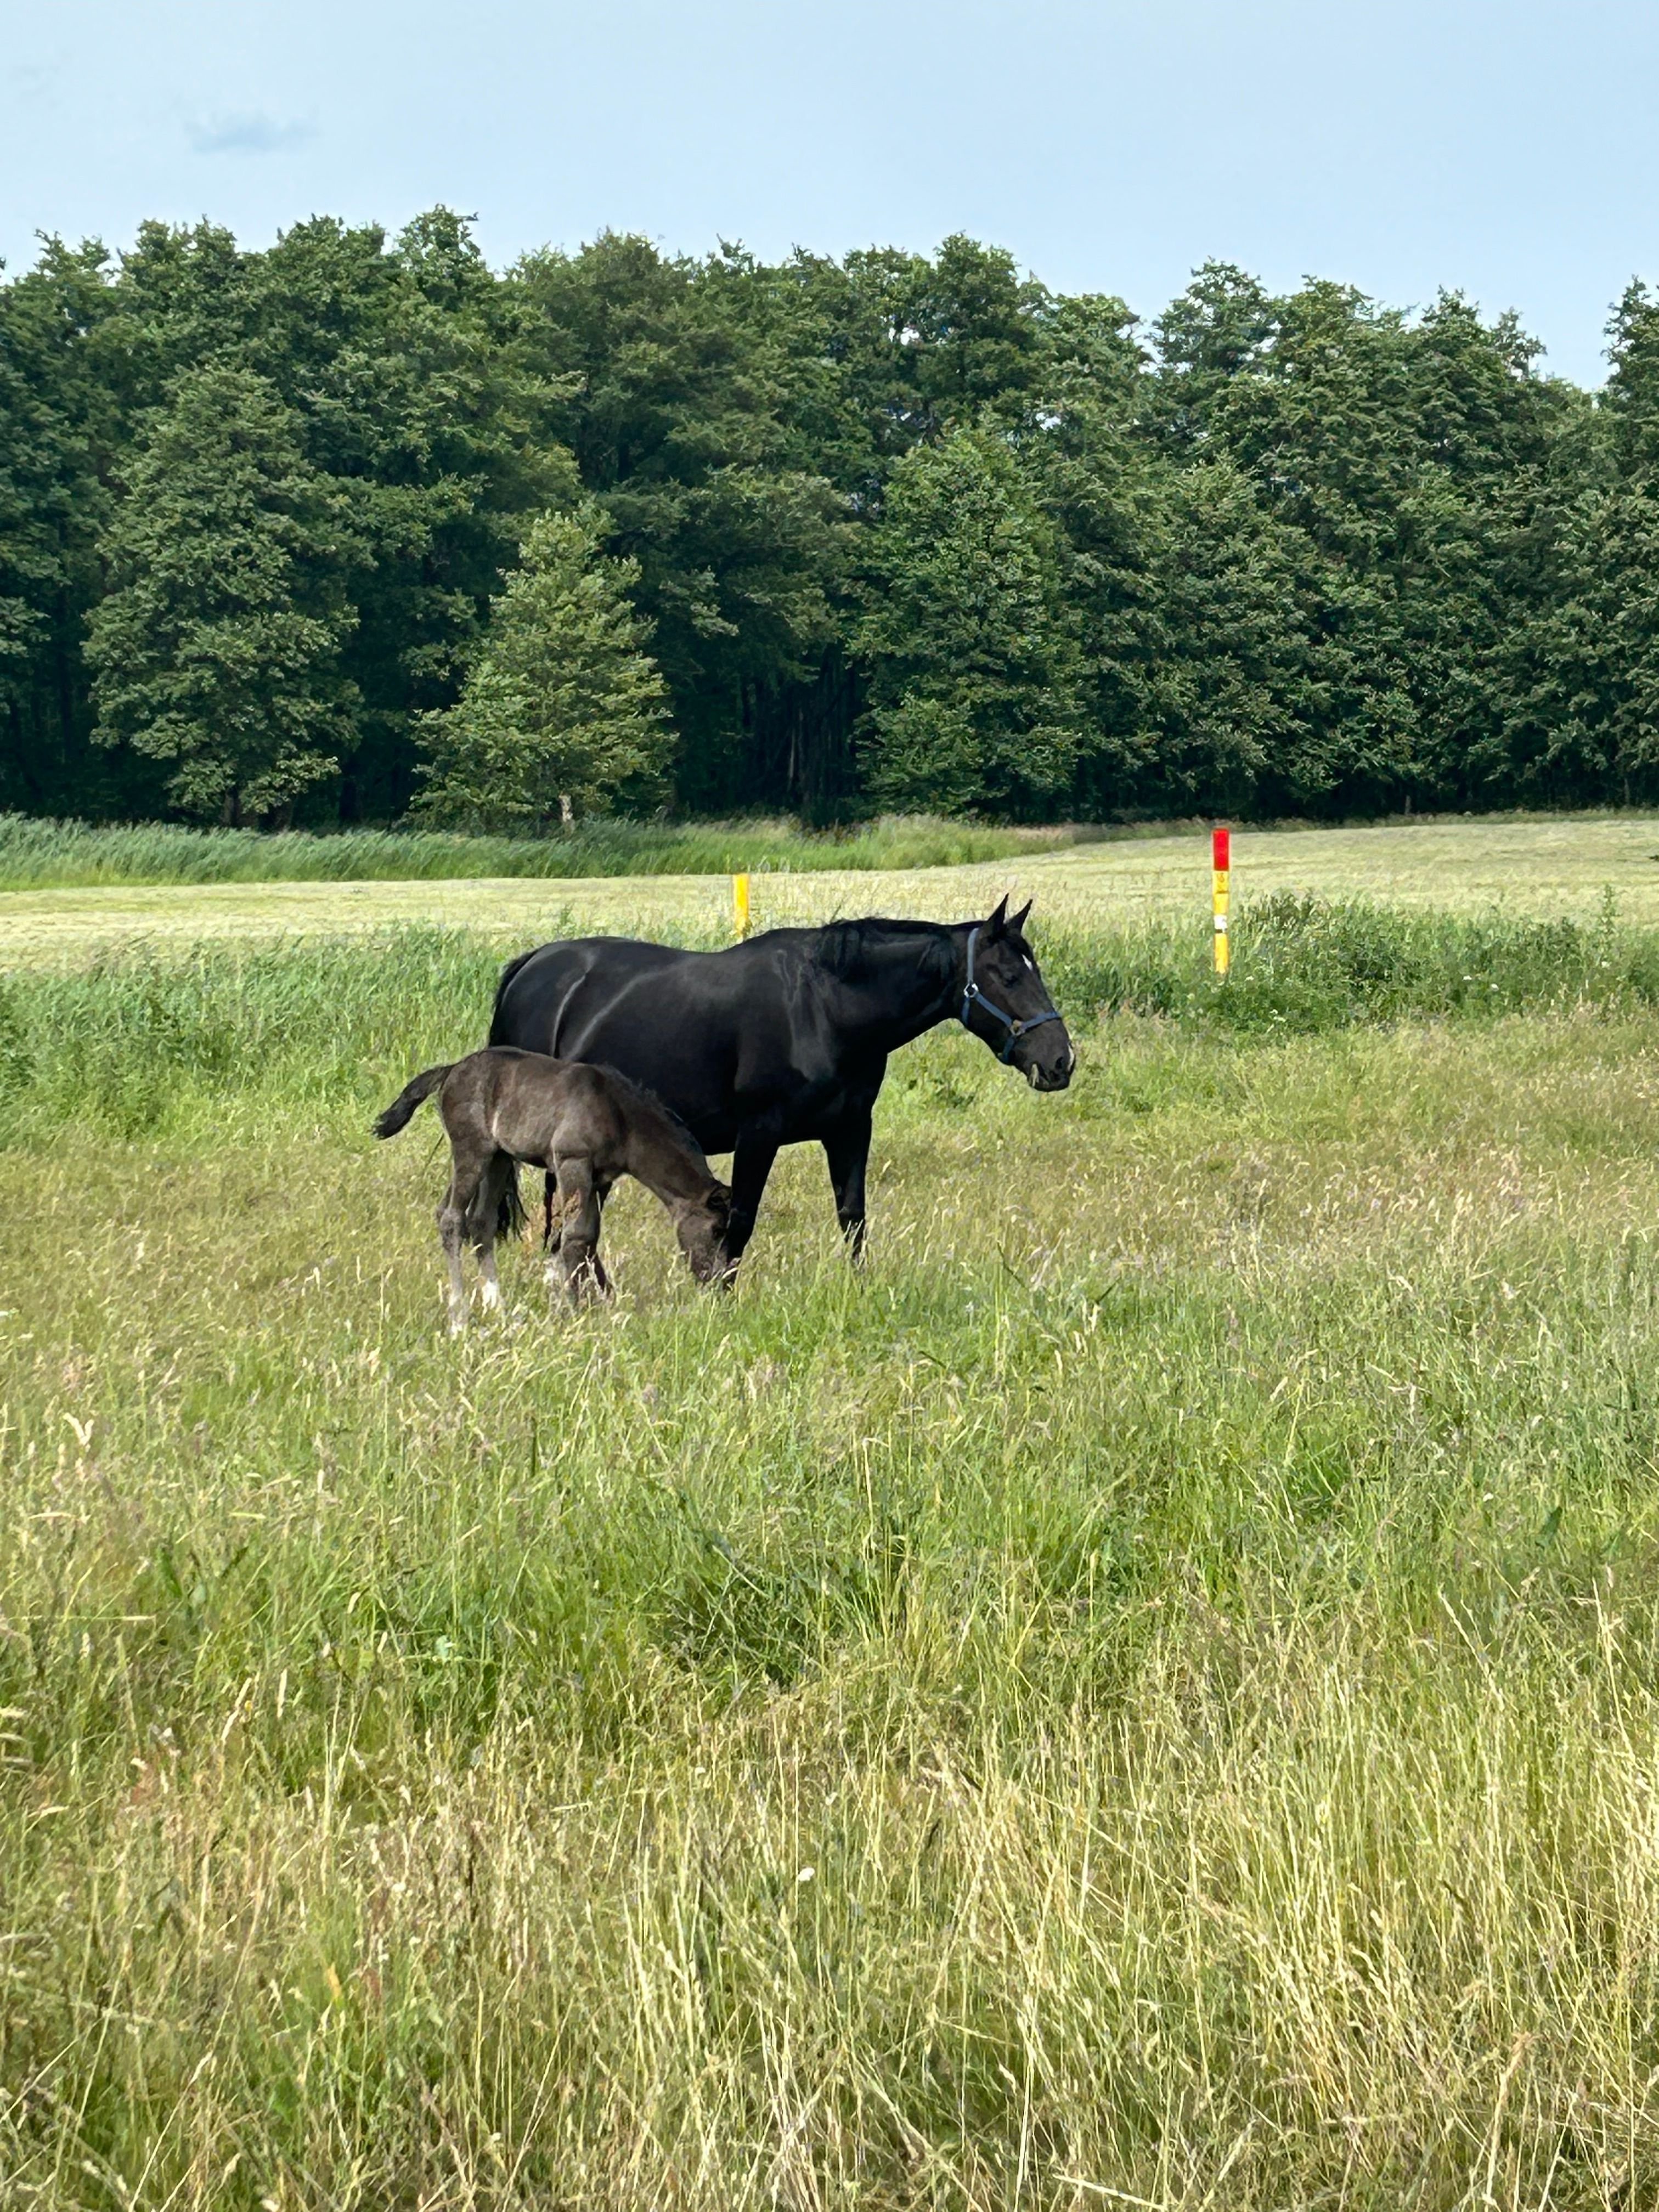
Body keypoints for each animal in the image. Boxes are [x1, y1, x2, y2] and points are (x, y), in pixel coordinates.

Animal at [382, 1044, 738, 1318]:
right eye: (717, 1230)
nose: (718, 1281)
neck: (620, 1116)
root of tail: (452, 1069)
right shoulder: (573, 1163)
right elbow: (577, 1235)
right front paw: (572, 1307)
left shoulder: (600, 1178)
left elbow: (590, 1236)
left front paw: (605, 1302)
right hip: (472, 1150)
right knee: (453, 1219)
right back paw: (460, 1317)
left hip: (499, 1158)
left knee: (479, 1221)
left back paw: (498, 1307)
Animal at [487, 893, 1070, 1274]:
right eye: (1009, 976)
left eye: (1035, 969)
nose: (1061, 1061)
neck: (825, 1007)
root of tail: (532, 966)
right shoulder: (759, 1134)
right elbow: (739, 1224)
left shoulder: (850, 1130)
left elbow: (853, 1218)